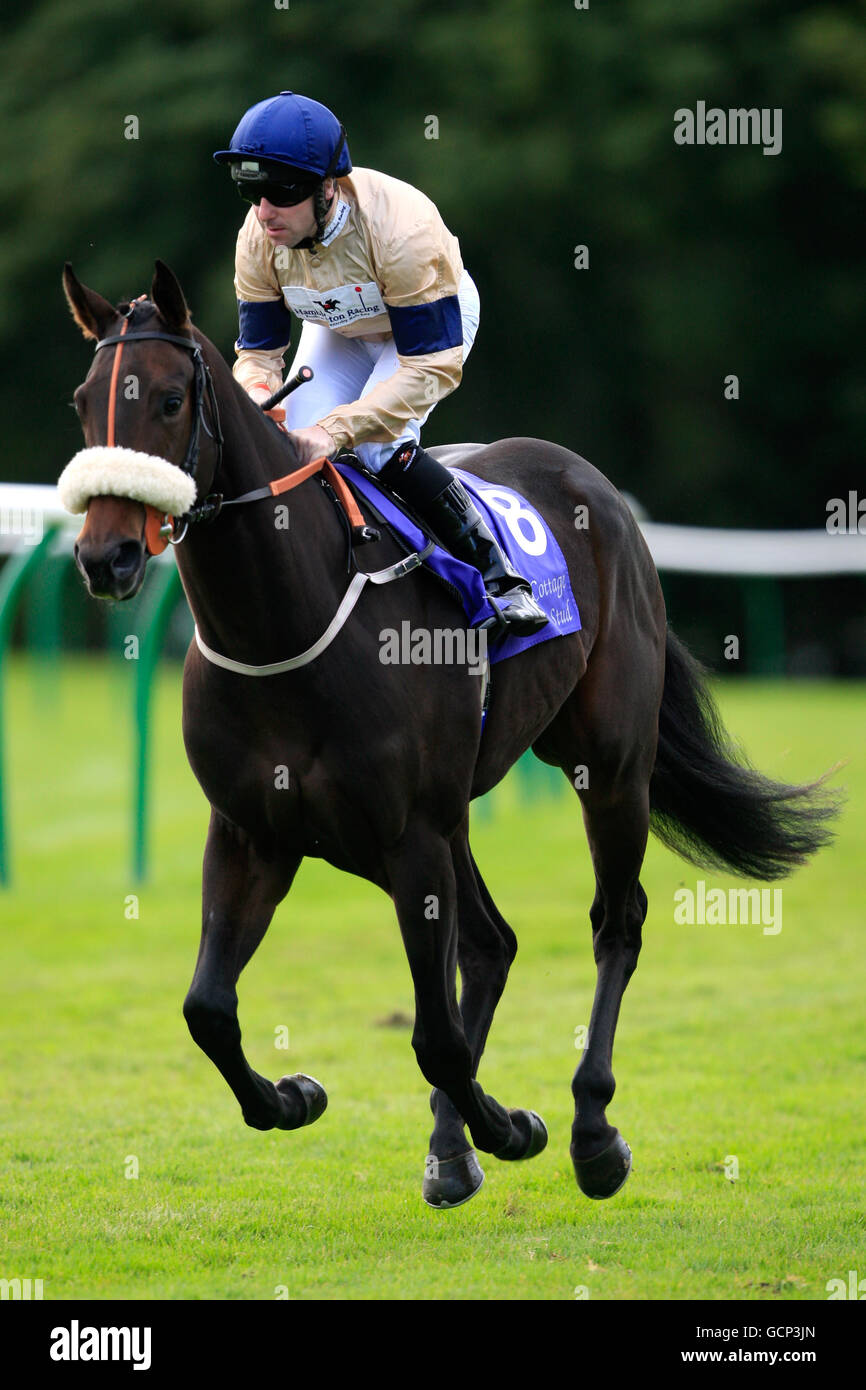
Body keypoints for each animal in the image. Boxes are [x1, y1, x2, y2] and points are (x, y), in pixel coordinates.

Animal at [59, 258, 839, 1206]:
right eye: (81, 399)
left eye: (171, 400)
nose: (105, 557)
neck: (285, 622)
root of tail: (593, 484)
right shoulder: (255, 834)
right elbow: (208, 1009)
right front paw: (297, 1095)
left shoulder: (411, 836)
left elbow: (437, 1036)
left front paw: (513, 1127)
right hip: (435, 820)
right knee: (491, 943)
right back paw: (450, 1147)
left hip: (606, 766)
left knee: (614, 922)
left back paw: (589, 1130)